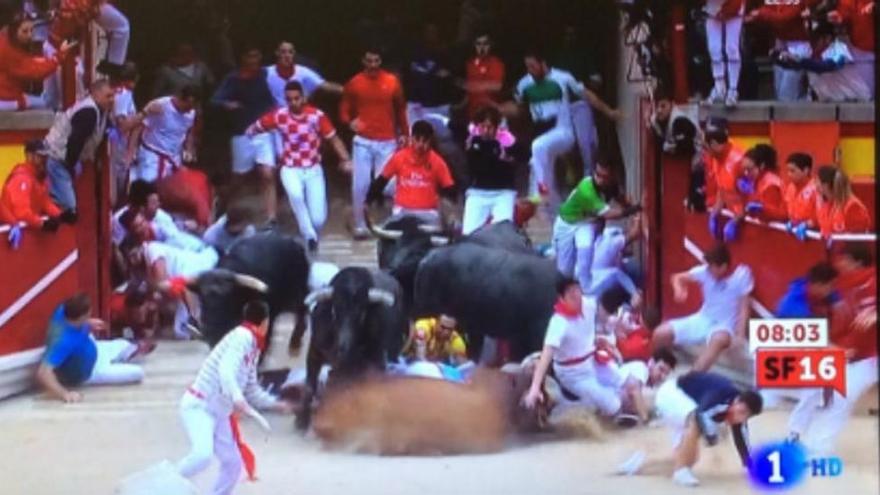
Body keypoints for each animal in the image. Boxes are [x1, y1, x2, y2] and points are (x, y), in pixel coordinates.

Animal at [296, 266, 406, 432]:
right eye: (334, 310)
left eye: (361, 313)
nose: (343, 348)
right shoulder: (314, 352)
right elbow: (309, 386)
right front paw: (301, 421)